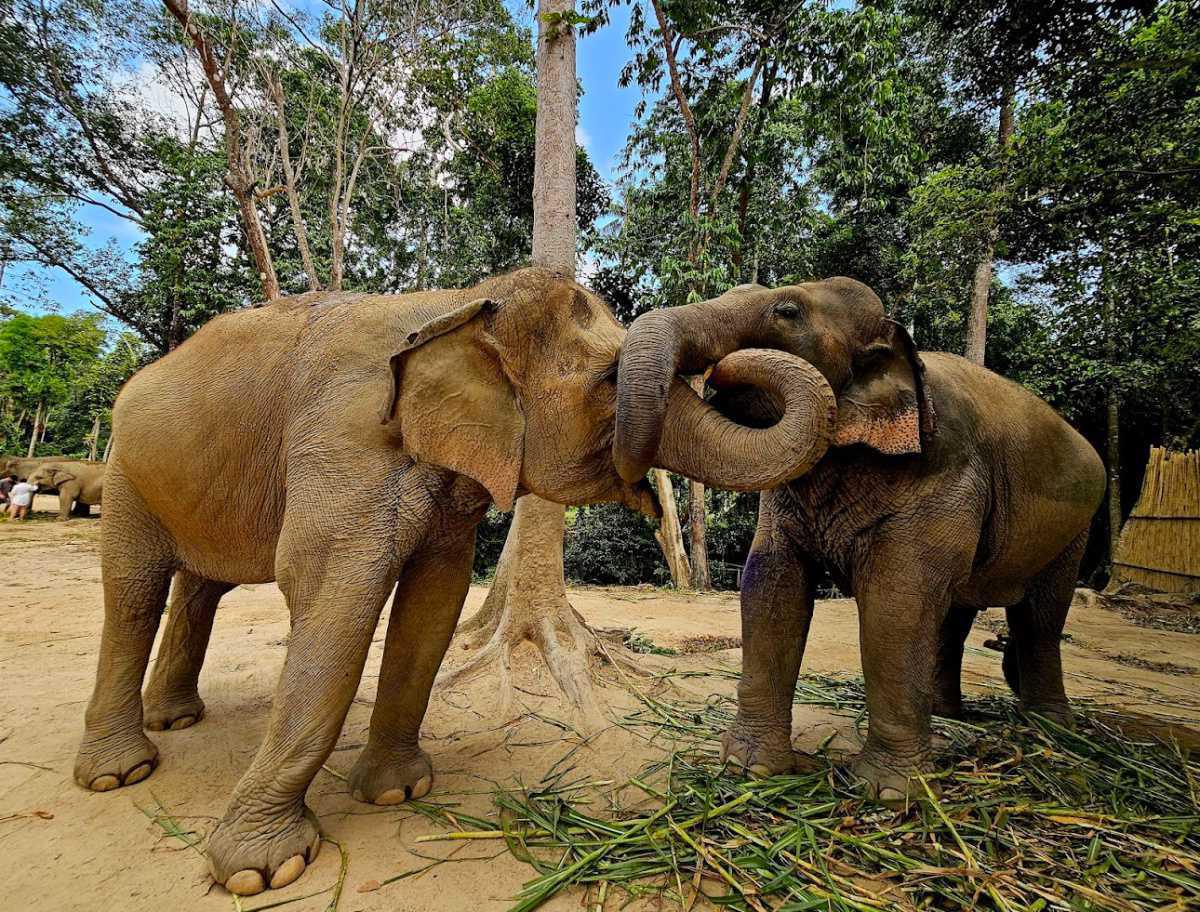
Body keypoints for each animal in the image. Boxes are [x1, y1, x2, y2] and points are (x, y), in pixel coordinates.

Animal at [75, 267, 840, 897]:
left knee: (200, 586)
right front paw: (261, 871)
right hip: (123, 471)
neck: (458, 302)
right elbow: (331, 604)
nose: (736, 367)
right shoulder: (343, 445)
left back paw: (175, 719)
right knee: (133, 591)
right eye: (608, 383)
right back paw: (119, 773)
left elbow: (433, 604)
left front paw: (396, 792)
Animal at [616, 278, 1106, 801]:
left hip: (1075, 529)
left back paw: (1048, 728)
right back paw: (945, 716)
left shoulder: (944, 473)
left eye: (787, 311)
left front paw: (887, 791)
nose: (718, 371)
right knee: (957, 612)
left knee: (1038, 619)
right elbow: (770, 586)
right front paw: (749, 768)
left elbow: (897, 602)